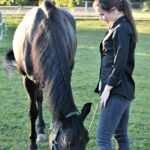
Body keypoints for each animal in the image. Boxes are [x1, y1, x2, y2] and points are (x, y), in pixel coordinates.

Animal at [4, 0, 92, 149]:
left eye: (87, 139)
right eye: (67, 143)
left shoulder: (67, 72)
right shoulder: (27, 80)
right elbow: (33, 112)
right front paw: (32, 143)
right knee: (39, 99)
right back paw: (40, 130)